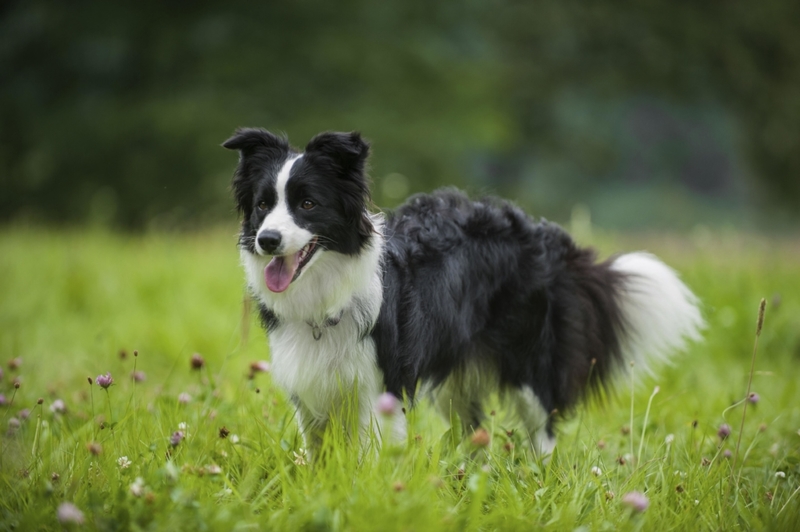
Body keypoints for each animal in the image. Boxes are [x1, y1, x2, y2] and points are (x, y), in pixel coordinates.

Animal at [222, 129, 704, 458]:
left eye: (307, 204)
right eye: (263, 205)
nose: (266, 240)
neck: (325, 292)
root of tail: (547, 237)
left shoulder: (380, 383)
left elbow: (372, 453)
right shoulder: (310, 383)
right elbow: (319, 452)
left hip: (528, 361)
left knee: (543, 429)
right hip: (456, 375)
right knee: (473, 431)